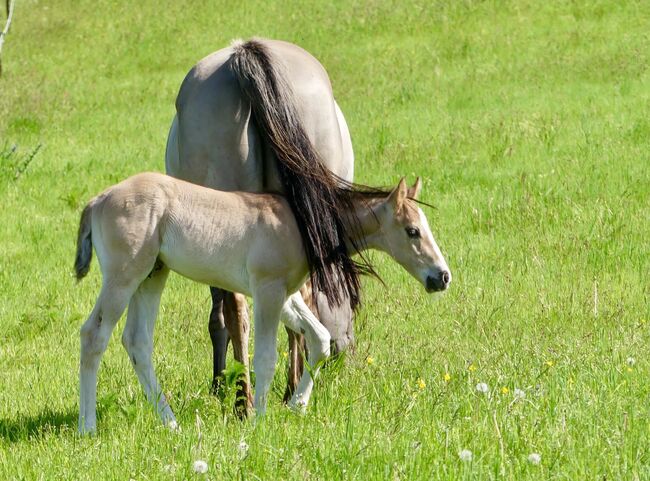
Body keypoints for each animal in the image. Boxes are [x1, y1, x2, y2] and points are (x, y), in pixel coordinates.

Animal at [76, 172, 448, 432]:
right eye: (412, 231)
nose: (442, 276)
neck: (298, 222)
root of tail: (99, 199)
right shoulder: (268, 290)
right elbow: (267, 358)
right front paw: (259, 422)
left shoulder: (286, 295)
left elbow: (319, 339)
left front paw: (297, 405)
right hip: (124, 277)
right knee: (94, 336)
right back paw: (88, 426)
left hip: (153, 275)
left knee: (137, 342)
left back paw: (171, 423)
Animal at [165, 38, 352, 412]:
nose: (344, 353)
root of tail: (245, 54)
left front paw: (221, 382)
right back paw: (278, 391)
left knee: (239, 308)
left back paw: (247, 401)